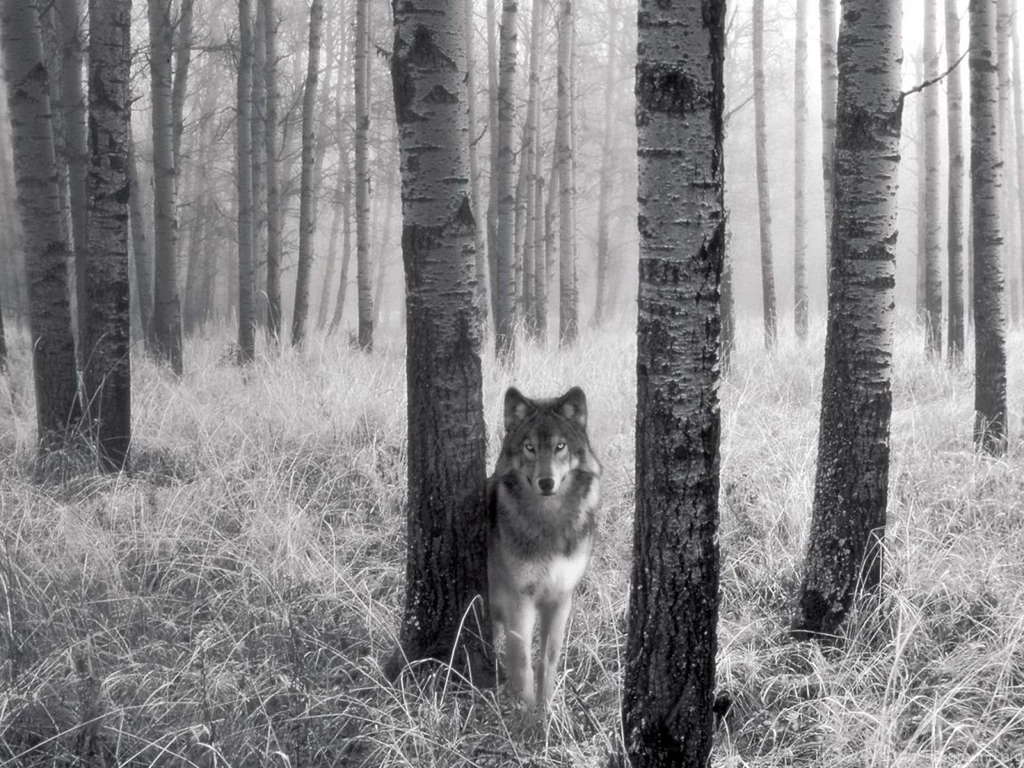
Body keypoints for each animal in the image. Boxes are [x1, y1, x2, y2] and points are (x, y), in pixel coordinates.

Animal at [487, 386, 602, 708]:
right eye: (529, 447)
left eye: (560, 446)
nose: (546, 482)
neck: (549, 522)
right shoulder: (519, 598)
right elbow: (522, 661)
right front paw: (525, 713)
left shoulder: (561, 597)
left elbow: (548, 659)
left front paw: (547, 708)